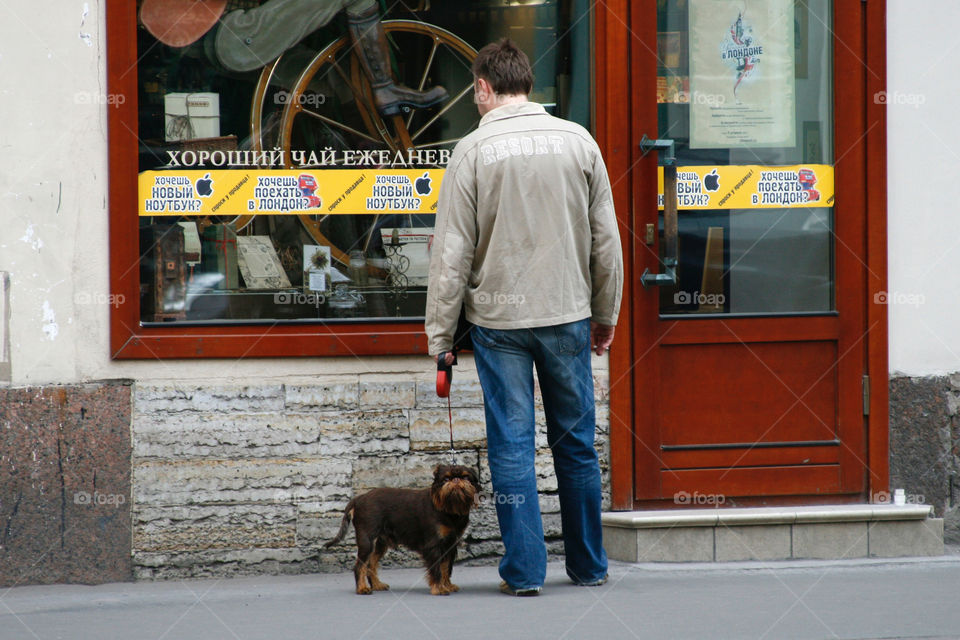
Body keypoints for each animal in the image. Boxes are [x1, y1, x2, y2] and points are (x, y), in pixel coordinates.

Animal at [326, 464, 480, 596]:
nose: (456, 480)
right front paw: (439, 588)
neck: (449, 509)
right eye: (446, 479)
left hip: (380, 543)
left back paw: (376, 585)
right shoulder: (433, 545)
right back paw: (362, 588)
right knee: (360, 565)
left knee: (371, 563)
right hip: (367, 540)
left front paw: (447, 585)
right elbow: (437, 569)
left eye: (466, 478)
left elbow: (446, 567)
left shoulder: (450, 544)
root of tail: (359, 499)